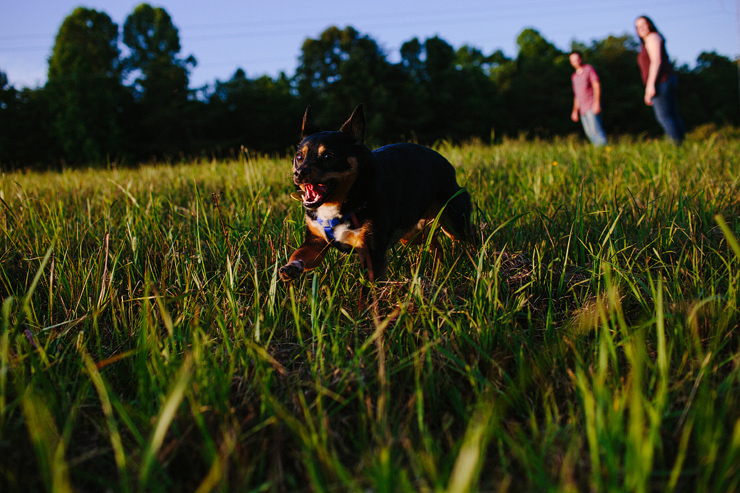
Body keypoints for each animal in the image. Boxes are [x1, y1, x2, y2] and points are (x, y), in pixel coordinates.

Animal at [274, 104, 472, 284]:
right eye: (299, 157)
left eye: (329, 156)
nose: (299, 172)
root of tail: (445, 162)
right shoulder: (315, 243)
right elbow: (298, 254)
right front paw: (291, 268)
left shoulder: (372, 253)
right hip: (412, 234)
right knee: (435, 245)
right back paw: (439, 269)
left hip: (455, 222)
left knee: (470, 238)